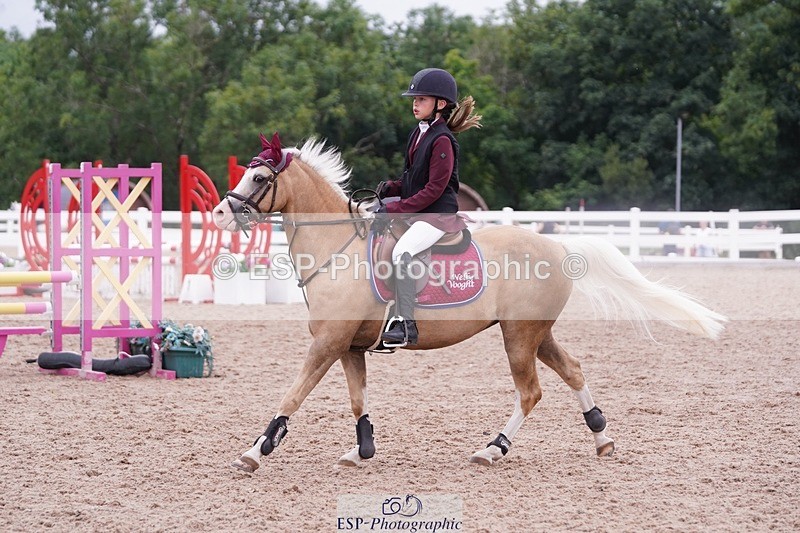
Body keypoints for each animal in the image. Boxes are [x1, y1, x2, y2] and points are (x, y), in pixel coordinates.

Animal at [212, 132, 726, 473]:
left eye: (260, 176)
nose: (219, 213)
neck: (337, 248)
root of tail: (559, 245)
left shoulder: (328, 343)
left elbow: (293, 394)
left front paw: (255, 450)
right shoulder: (350, 347)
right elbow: (358, 401)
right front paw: (361, 451)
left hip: (519, 336)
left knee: (530, 392)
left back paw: (492, 448)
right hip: (535, 332)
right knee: (574, 370)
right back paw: (601, 438)